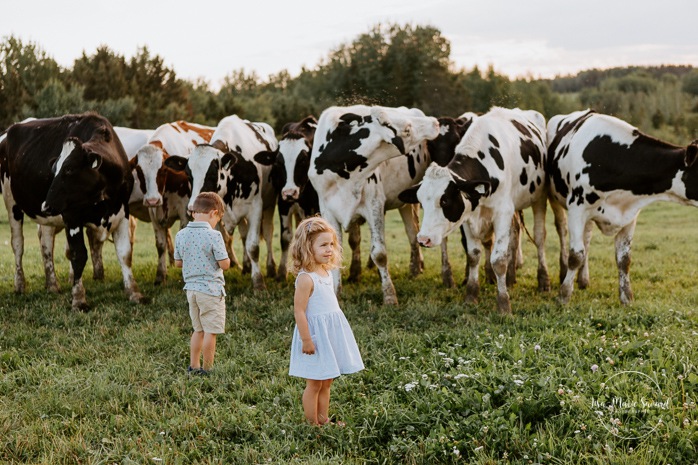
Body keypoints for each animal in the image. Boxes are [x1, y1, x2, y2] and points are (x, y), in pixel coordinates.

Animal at [0, 112, 144, 308]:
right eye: (54, 169)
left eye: (69, 169)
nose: (45, 205)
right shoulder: (72, 216)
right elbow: (78, 255)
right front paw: (78, 299)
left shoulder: (122, 213)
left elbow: (125, 254)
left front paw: (134, 293)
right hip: (11, 201)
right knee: (17, 244)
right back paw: (20, 285)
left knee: (46, 244)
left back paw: (52, 285)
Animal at [165, 115, 278, 290]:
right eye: (189, 175)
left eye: (212, 174)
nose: (191, 208)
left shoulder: (255, 208)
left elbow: (253, 247)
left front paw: (258, 283)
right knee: (244, 235)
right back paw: (246, 267)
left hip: (270, 204)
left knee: (267, 233)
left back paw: (271, 268)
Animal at [308, 104, 438, 304]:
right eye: (407, 129)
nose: (435, 122)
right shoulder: (327, 210)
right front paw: (336, 294)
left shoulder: (374, 204)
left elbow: (380, 254)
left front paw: (390, 295)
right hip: (404, 203)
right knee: (411, 231)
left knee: (412, 232)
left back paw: (416, 268)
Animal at [400, 107, 552, 314]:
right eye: (421, 200)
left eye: (445, 200)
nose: (424, 239)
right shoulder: (468, 214)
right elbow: (473, 255)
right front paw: (471, 295)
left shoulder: (502, 213)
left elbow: (499, 260)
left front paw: (503, 304)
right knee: (514, 233)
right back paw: (511, 277)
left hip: (539, 197)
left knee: (539, 237)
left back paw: (543, 280)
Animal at [544, 109, 696, 304]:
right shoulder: (577, 208)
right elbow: (575, 256)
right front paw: (563, 296)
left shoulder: (630, 215)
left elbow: (624, 259)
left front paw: (626, 298)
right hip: (554, 197)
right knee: (562, 231)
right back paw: (565, 275)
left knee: (587, 238)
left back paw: (583, 279)